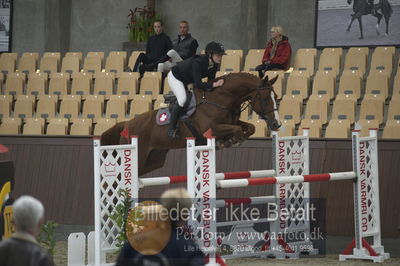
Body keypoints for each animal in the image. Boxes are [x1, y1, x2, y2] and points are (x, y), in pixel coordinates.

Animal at [101, 72, 280, 175]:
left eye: (276, 97)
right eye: (265, 98)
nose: (276, 124)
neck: (219, 99)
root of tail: (126, 124)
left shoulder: (232, 122)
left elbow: (250, 127)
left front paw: (231, 140)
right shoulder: (210, 129)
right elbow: (236, 130)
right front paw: (229, 142)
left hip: (154, 160)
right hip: (137, 154)